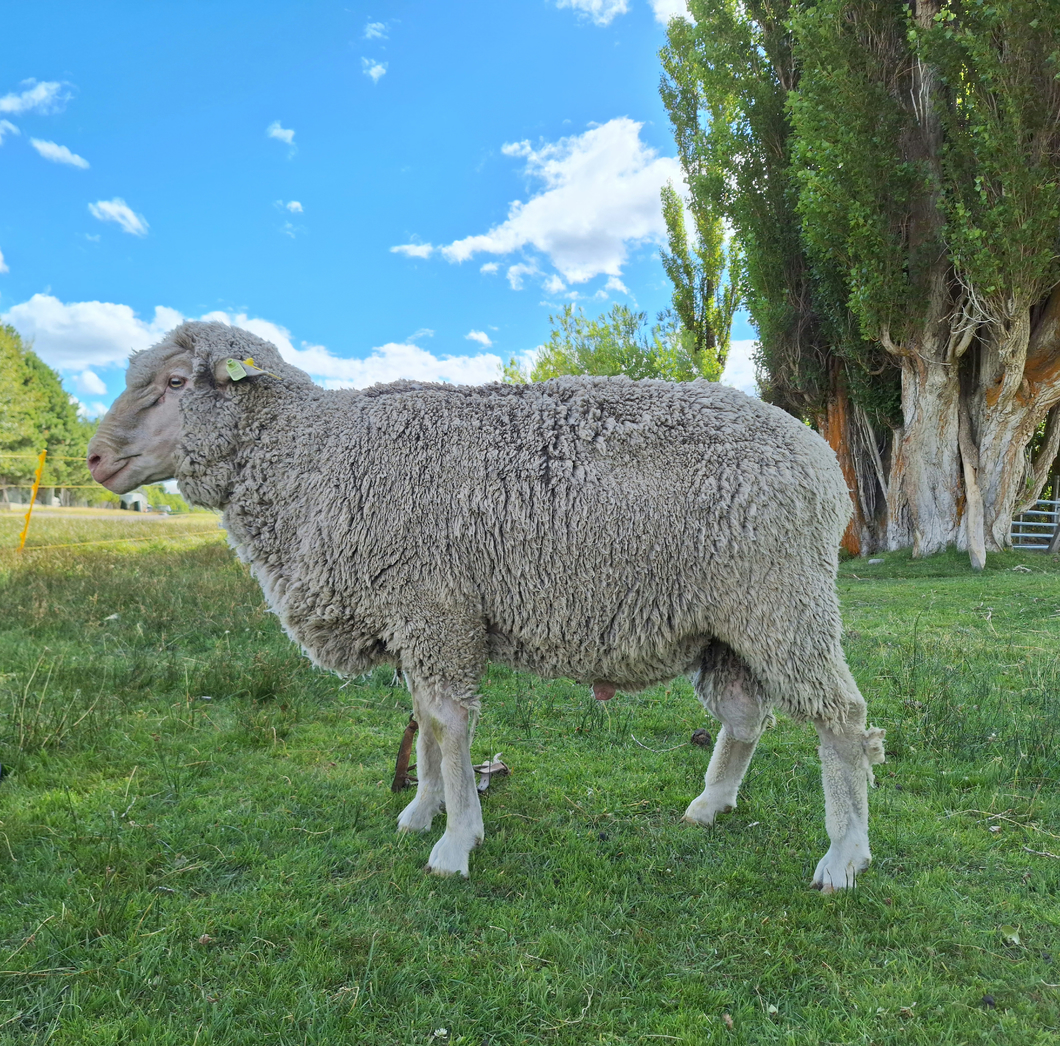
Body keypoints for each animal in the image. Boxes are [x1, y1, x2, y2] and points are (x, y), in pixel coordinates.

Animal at [89, 320, 886, 890]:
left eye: (175, 381)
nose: (95, 460)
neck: (311, 461)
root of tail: (821, 459)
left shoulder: (436, 609)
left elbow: (446, 725)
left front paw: (455, 842)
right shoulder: (414, 617)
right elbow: (424, 725)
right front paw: (423, 809)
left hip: (783, 603)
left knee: (843, 720)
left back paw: (844, 854)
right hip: (726, 625)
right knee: (747, 717)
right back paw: (710, 805)